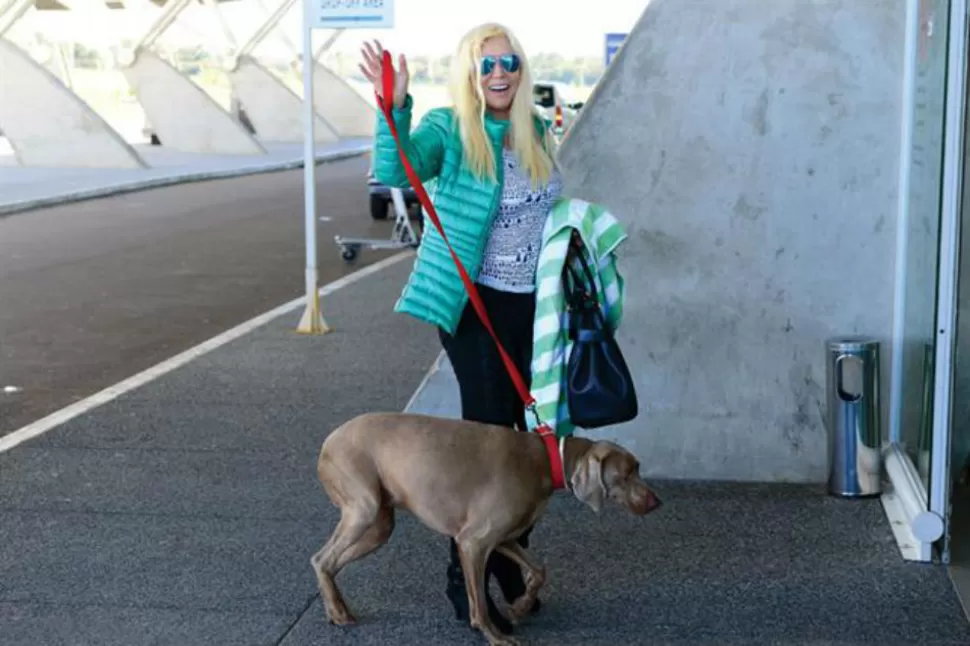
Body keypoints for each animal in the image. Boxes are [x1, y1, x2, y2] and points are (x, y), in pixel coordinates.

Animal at [314, 412, 660, 644]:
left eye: (638, 468)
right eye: (626, 474)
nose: (656, 502)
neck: (544, 460)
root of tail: (327, 441)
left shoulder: (506, 537)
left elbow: (540, 570)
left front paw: (520, 606)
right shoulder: (473, 542)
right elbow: (478, 603)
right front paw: (495, 636)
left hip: (379, 525)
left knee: (330, 562)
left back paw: (336, 609)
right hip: (364, 506)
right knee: (320, 558)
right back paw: (338, 612)